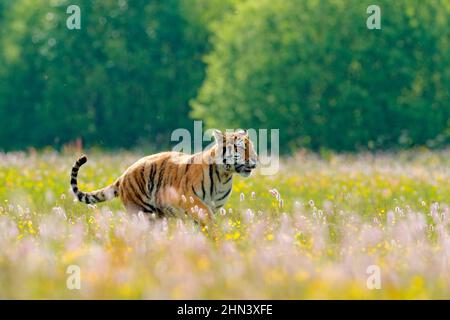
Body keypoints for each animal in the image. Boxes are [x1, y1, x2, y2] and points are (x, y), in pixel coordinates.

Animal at [69, 129, 258, 228]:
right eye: (240, 148)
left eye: (252, 147)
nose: (255, 160)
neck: (225, 175)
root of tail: (123, 175)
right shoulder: (190, 198)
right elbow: (208, 218)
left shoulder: (212, 206)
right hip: (142, 213)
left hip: (159, 216)